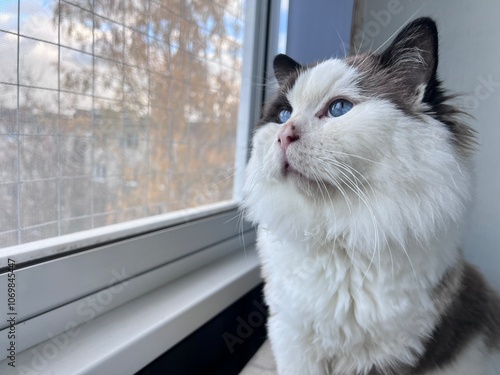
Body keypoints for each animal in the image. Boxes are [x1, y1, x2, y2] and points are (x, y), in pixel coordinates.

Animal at [241, 16, 500, 374]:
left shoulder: (387, 357)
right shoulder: (293, 340)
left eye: (339, 108)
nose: (283, 135)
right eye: (282, 115)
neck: (338, 238)